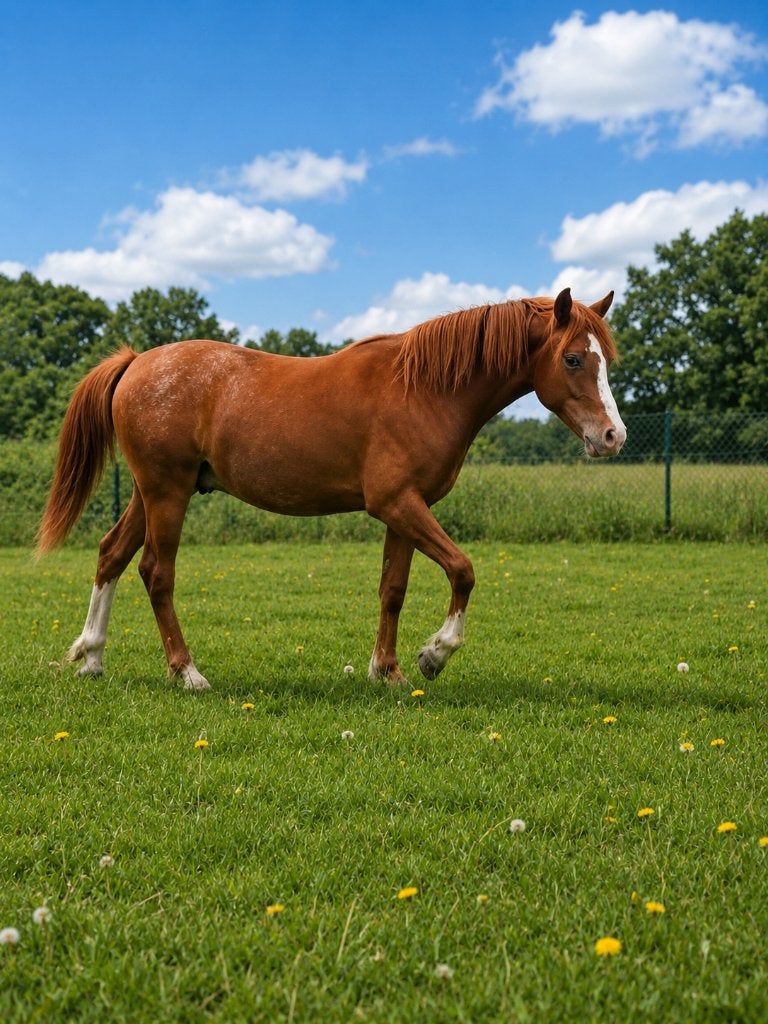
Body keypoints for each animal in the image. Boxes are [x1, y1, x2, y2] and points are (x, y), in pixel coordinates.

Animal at [38, 287, 626, 690]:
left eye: (605, 360)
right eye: (574, 358)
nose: (613, 436)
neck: (425, 389)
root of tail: (137, 362)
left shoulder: (406, 510)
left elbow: (393, 590)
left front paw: (387, 671)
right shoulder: (397, 504)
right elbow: (463, 570)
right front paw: (434, 655)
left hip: (149, 493)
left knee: (111, 556)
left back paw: (92, 656)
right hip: (167, 493)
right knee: (156, 574)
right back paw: (187, 673)